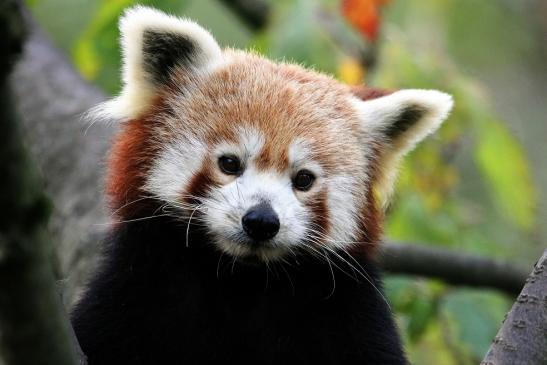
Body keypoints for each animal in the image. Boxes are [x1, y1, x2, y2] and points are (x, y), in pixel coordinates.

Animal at [70, 5, 452, 364]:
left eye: (304, 179)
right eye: (229, 163)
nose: (262, 221)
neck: (242, 279)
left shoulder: (349, 312)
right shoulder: (137, 290)